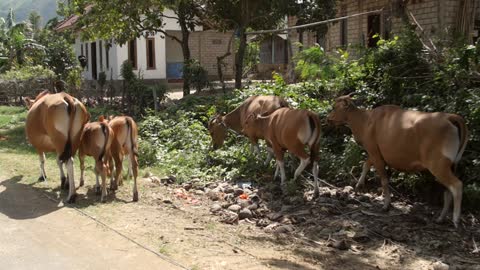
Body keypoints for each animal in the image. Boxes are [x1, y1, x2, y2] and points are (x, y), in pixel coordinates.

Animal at [326, 93, 468, 228]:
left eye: (334, 107)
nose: (328, 118)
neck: (365, 120)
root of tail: (449, 117)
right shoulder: (374, 152)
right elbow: (366, 165)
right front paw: (359, 185)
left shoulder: (374, 152)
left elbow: (383, 180)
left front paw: (386, 205)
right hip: (451, 165)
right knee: (447, 190)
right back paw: (440, 218)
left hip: (438, 165)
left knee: (456, 185)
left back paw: (455, 219)